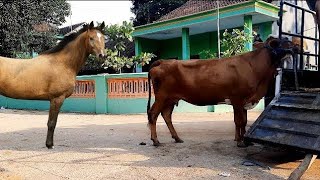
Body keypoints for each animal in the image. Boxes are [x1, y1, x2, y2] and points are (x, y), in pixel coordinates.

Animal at [0, 21, 106, 149]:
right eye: (91, 38)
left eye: (103, 38)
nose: (102, 56)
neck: (62, 63)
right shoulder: (57, 98)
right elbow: (52, 123)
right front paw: (49, 145)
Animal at [147, 36, 298, 146]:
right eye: (282, 42)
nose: (297, 46)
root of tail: (163, 61)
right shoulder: (238, 99)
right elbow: (240, 121)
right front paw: (240, 142)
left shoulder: (243, 102)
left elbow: (243, 121)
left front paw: (242, 140)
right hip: (162, 96)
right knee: (153, 114)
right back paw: (156, 140)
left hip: (171, 99)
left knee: (166, 115)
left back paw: (177, 138)